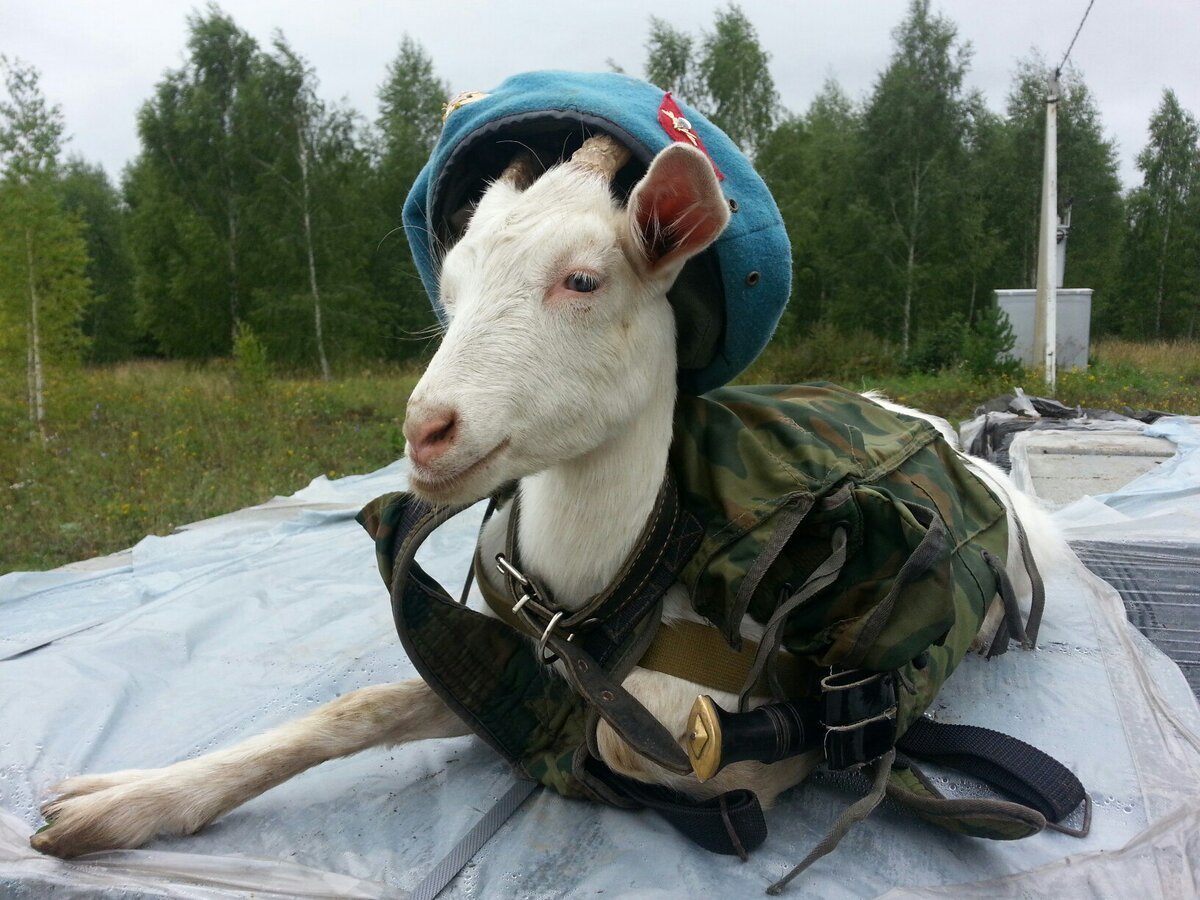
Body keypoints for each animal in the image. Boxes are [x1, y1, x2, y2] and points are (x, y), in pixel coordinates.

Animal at [30, 136, 1064, 863]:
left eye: (583, 279)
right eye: (450, 292)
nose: (427, 430)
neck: (614, 586)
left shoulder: (714, 731)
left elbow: (634, 747)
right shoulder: (520, 661)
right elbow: (356, 706)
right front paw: (113, 804)